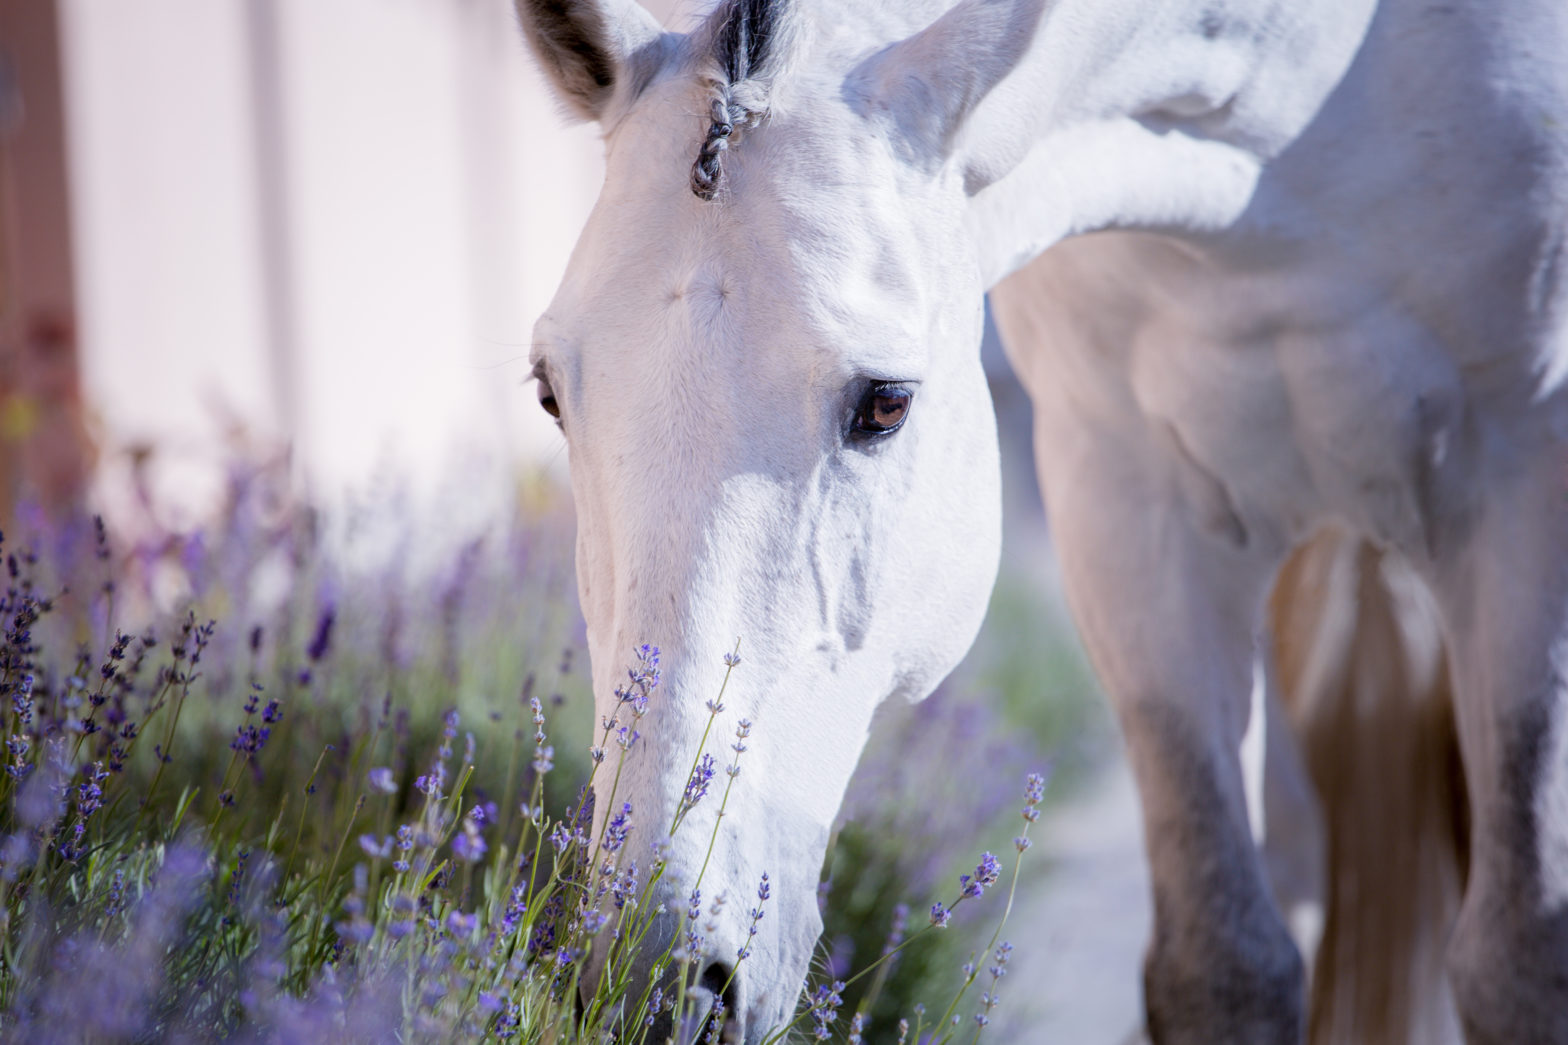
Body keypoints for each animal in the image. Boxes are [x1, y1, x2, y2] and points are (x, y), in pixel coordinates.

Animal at [514, 0, 1568, 1041]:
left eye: (886, 404)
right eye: (550, 395)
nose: (656, 984)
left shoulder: (1527, 489)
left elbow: (1520, 954)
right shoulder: (1126, 498)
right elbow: (1222, 962)